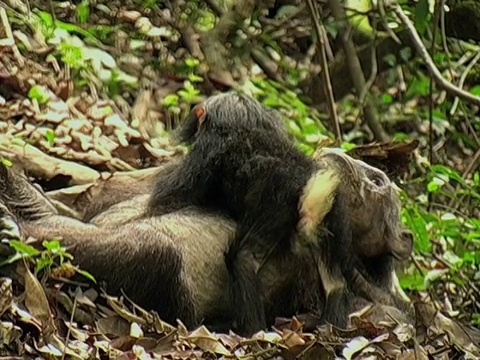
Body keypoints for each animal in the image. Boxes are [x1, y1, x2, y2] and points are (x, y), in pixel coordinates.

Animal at [146, 92, 412, 334]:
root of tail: (315, 188)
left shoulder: (203, 158)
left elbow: (168, 199)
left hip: (276, 208)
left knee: (244, 259)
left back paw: (250, 330)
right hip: (335, 220)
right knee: (335, 281)